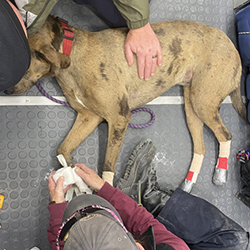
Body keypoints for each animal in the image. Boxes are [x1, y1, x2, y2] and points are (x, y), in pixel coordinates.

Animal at [5, 15, 246, 191]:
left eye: (21, 65)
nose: (6, 91)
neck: (71, 52)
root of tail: (234, 48)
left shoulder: (119, 118)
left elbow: (107, 165)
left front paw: (104, 189)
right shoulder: (89, 117)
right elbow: (62, 148)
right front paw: (70, 166)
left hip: (202, 101)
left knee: (225, 135)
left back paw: (220, 173)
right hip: (191, 106)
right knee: (201, 147)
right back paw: (187, 184)